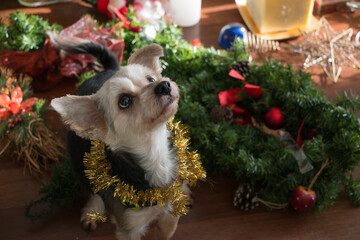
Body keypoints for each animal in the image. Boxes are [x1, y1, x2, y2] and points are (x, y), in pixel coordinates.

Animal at [48, 34, 184, 240]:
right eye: (124, 101)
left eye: (150, 78)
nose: (164, 85)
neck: (155, 153)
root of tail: (106, 71)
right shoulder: (129, 227)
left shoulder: (170, 209)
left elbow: (167, 228)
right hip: (79, 163)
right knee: (93, 190)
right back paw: (93, 210)